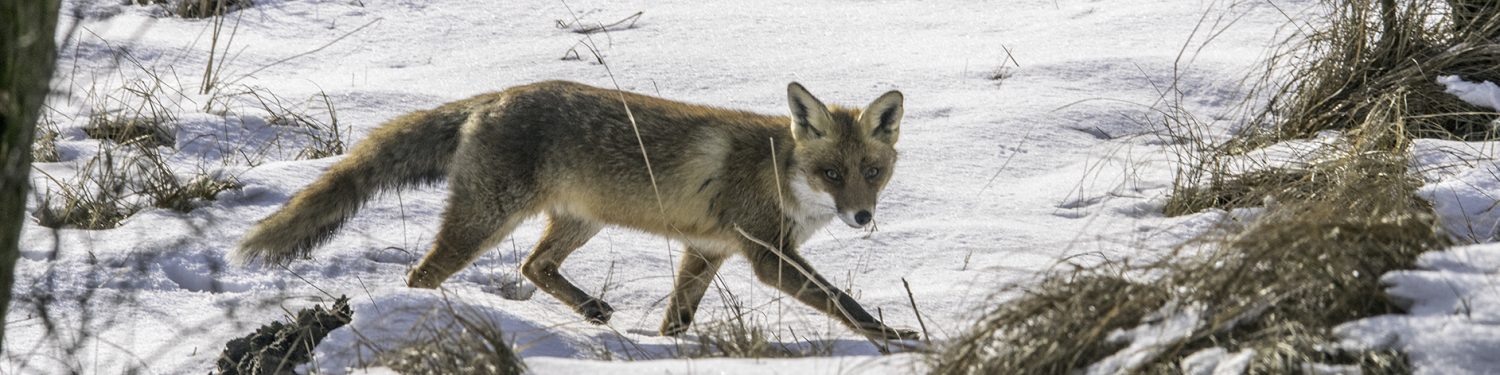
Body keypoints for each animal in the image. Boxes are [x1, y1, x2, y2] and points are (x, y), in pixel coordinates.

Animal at [237, 81, 912, 340]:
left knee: (533, 267)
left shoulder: (707, 249)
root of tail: (494, 96)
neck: (778, 173)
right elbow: (843, 303)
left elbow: (678, 317)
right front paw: (894, 339)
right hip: (487, 221)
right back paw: (426, 317)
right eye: (831, 174)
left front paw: (669, 349)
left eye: (871, 173)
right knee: (423, 273)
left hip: (579, 222)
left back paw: (589, 308)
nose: (863, 219)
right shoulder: (769, 256)